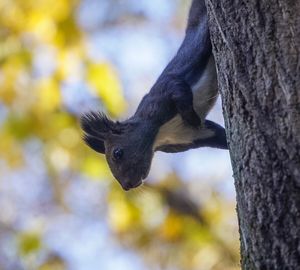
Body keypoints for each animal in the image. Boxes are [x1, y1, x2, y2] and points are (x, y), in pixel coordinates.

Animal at [80, 0, 227, 191]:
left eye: (117, 153)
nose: (127, 186)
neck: (160, 134)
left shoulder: (161, 96)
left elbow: (177, 89)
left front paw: (192, 118)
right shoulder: (192, 136)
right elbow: (220, 136)